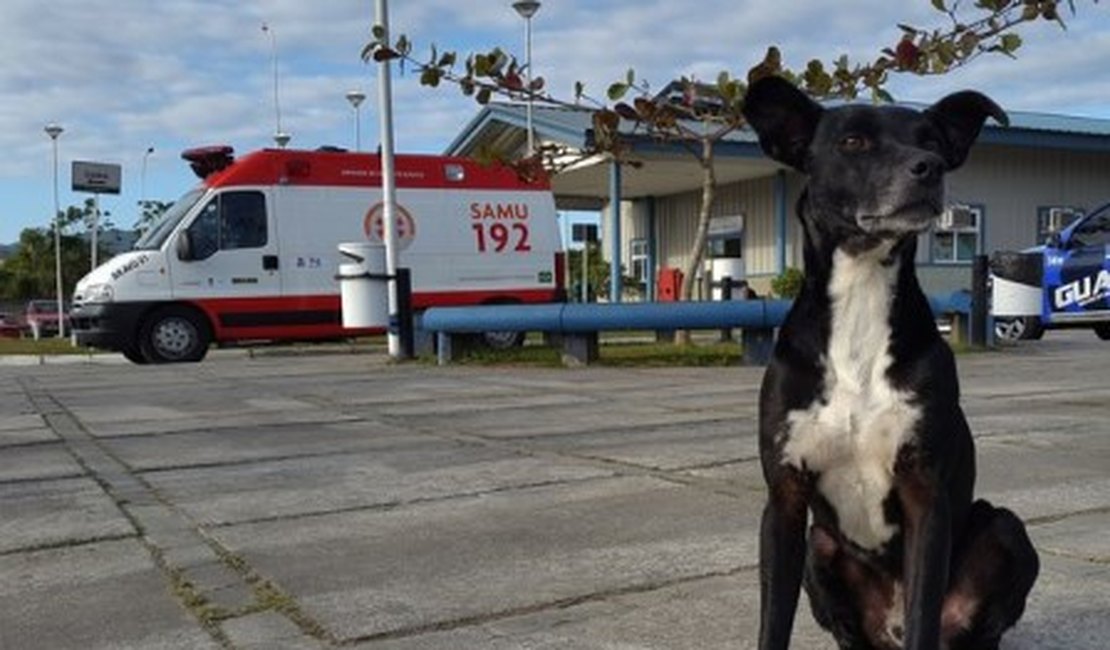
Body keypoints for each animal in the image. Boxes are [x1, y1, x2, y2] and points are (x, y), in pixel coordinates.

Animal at [745, 77, 1038, 647]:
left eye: (932, 141)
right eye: (853, 142)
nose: (929, 167)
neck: (863, 294)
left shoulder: (926, 497)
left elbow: (925, 609)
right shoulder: (784, 504)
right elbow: (772, 621)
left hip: (1005, 529)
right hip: (820, 547)